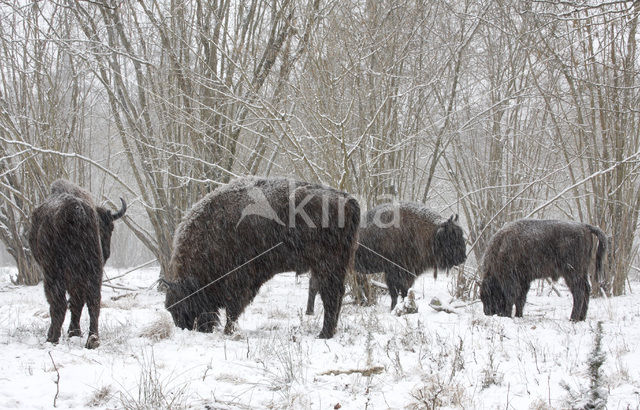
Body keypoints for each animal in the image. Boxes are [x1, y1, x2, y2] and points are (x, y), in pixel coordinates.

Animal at [27, 180, 126, 350]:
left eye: (111, 228)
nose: (106, 253)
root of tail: (77, 211)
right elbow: (78, 302)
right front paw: (75, 332)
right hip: (93, 271)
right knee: (93, 302)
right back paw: (92, 340)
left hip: (55, 272)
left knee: (58, 303)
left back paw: (52, 338)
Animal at [164, 177, 360, 340]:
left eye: (183, 304)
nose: (188, 328)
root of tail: (348, 200)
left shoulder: (239, 280)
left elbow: (233, 309)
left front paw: (228, 331)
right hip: (334, 266)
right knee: (336, 294)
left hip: (326, 265)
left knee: (330, 295)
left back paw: (324, 334)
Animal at [304, 201, 464, 310]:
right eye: (451, 236)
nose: (463, 258)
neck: (427, 232)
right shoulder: (397, 273)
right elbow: (398, 292)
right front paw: (398, 308)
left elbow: (398, 292)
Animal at [480, 219, 608, 322]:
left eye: (487, 295)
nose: (487, 312)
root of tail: (584, 226)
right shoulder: (524, 280)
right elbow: (521, 298)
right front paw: (518, 315)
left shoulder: (510, 279)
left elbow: (511, 296)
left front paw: (507, 315)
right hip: (582, 272)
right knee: (586, 289)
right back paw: (582, 318)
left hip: (572, 273)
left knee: (579, 292)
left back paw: (573, 319)